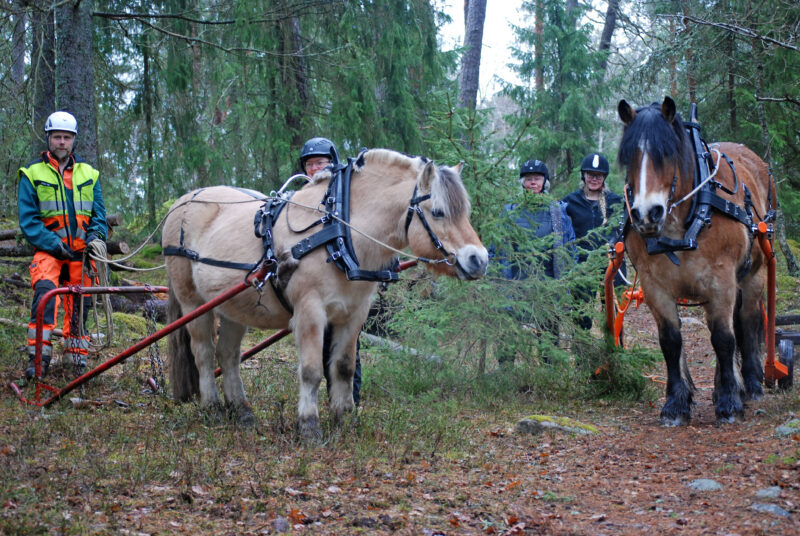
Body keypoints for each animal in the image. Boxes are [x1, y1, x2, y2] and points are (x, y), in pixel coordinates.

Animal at [162, 148, 488, 440]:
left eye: (466, 212)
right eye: (438, 212)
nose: (479, 260)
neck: (338, 233)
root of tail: (182, 202)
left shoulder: (354, 313)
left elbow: (343, 368)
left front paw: (345, 419)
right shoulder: (310, 310)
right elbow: (311, 370)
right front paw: (309, 426)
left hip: (234, 305)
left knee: (228, 355)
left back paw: (242, 412)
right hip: (194, 302)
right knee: (204, 353)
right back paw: (213, 408)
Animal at [620, 95, 776, 422]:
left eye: (668, 153)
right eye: (628, 156)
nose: (646, 214)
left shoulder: (722, 281)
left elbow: (724, 338)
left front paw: (729, 401)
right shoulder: (654, 287)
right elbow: (670, 340)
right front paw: (676, 402)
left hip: (752, 275)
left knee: (746, 322)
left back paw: (751, 383)